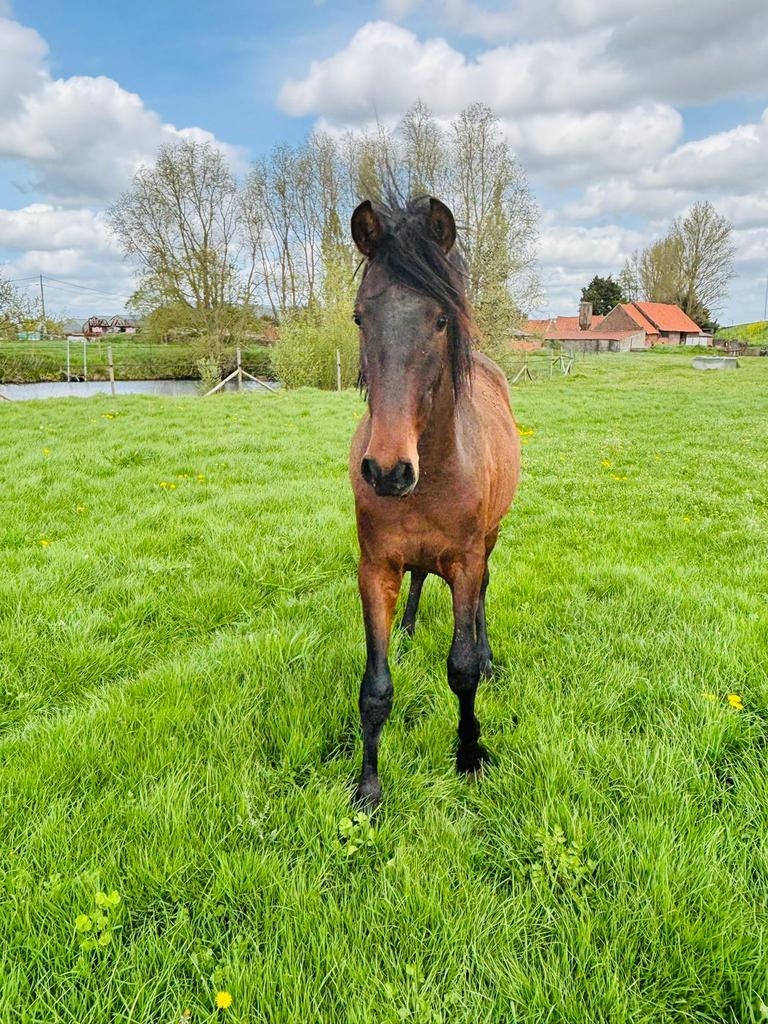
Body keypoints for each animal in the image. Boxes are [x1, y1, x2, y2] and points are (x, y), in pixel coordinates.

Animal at [348, 194, 521, 807]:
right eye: (360, 317)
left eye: (442, 319)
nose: (386, 470)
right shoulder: (375, 568)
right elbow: (375, 688)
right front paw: (368, 789)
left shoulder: (466, 561)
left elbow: (461, 669)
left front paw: (470, 755)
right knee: (421, 579)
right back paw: (407, 631)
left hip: (490, 540)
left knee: (484, 594)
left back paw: (491, 657)